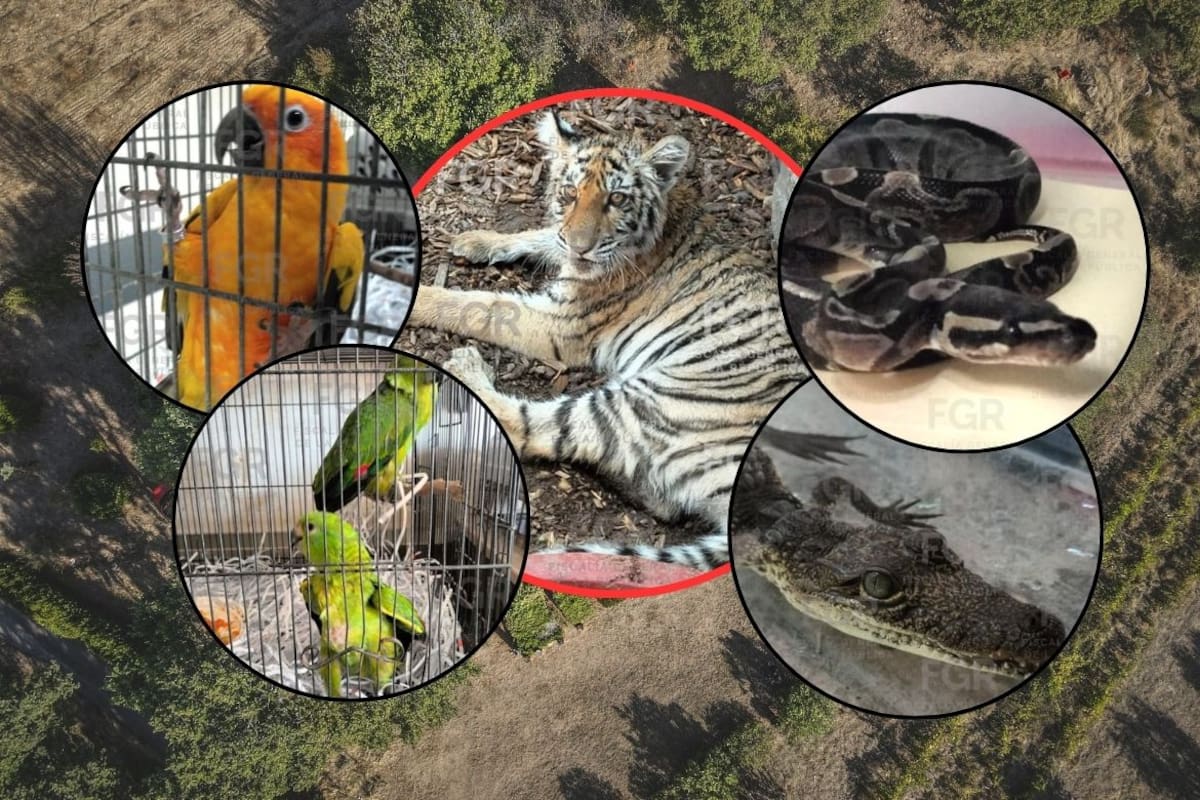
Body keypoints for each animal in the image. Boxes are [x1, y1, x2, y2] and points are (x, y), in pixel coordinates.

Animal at [406, 105, 806, 573]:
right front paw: (475, 240)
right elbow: (543, 235)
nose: (582, 248)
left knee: (531, 427)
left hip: (655, 397)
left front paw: (419, 298)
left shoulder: (561, 322)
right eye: (569, 192)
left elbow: (476, 305)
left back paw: (466, 366)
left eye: (616, 200)